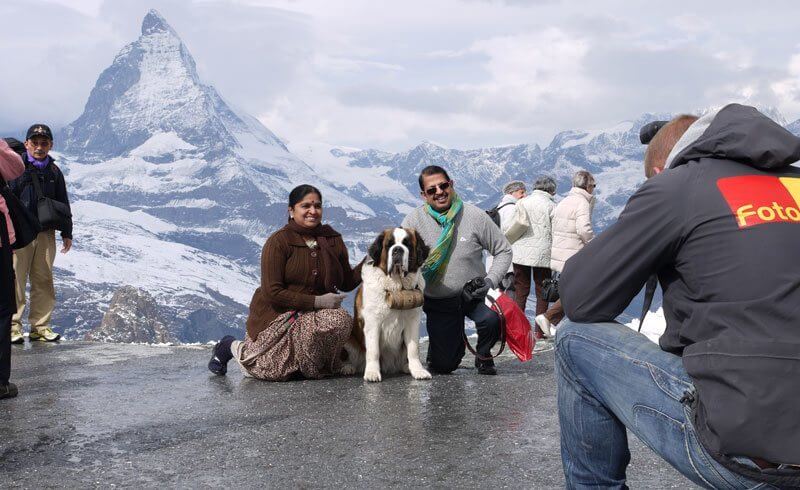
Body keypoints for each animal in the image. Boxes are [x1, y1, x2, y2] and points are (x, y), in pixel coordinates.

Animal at [342, 228, 432, 380]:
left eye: (407, 244)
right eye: (389, 245)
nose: (397, 250)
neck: (397, 287)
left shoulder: (412, 321)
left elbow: (413, 349)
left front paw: (418, 371)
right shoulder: (373, 322)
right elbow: (373, 350)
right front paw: (372, 373)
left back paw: (406, 367)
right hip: (349, 338)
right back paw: (347, 367)